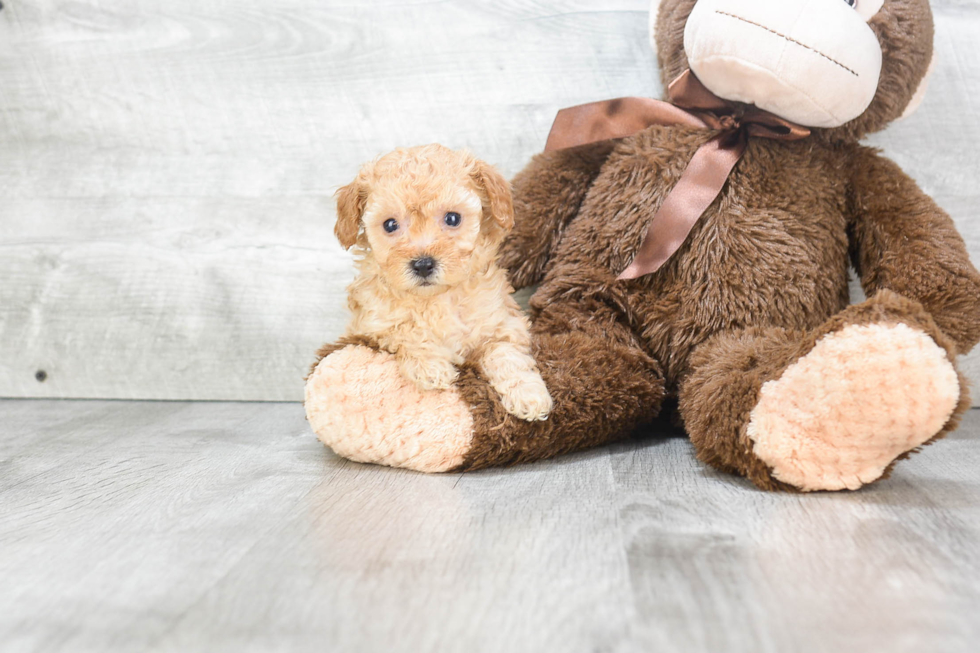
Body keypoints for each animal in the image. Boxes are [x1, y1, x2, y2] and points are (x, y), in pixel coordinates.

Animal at [334, 143, 552, 420]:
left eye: (452, 218)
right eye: (390, 224)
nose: (423, 264)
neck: (436, 298)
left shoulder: (501, 324)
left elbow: (507, 355)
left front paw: (529, 395)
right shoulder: (372, 325)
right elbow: (406, 330)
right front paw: (430, 367)